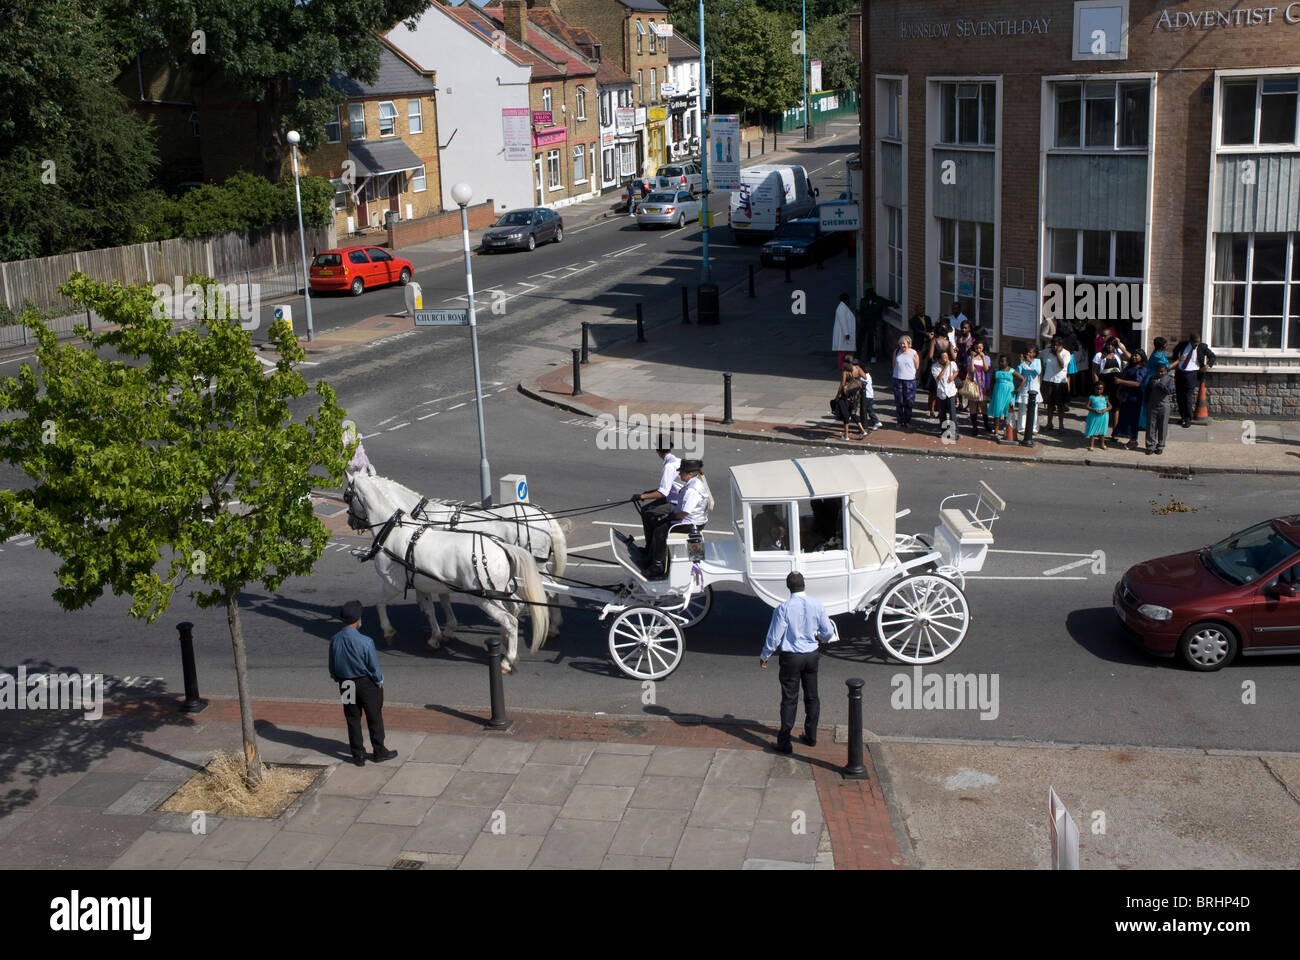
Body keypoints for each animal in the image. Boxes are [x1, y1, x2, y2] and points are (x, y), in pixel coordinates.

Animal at [343, 468, 546, 671]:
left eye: (347, 496)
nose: (350, 522)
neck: (394, 530)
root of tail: (502, 546)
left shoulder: (394, 584)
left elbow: (380, 604)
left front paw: (388, 631)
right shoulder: (424, 583)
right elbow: (430, 609)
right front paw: (437, 637)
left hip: (483, 597)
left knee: (510, 620)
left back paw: (507, 660)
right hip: (498, 593)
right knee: (515, 608)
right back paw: (506, 642)